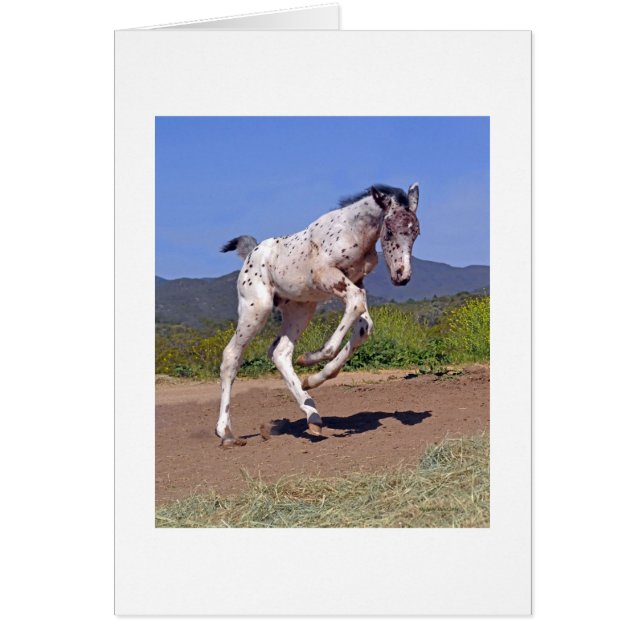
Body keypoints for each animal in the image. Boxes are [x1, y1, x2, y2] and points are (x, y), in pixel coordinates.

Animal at [216, 183, 421, 447]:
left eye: (416, 233)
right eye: (389, 232)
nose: (402, 276)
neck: (353, 232)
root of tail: (251, 253)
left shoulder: (355, 281)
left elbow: (364, 326)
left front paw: (314, 378)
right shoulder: (327, 277)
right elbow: (355, 305)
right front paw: (311, 358)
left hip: (301, 308)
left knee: (280, 352)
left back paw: (313, 416)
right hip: (256, 309)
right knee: (231, 355)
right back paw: (226, 432)